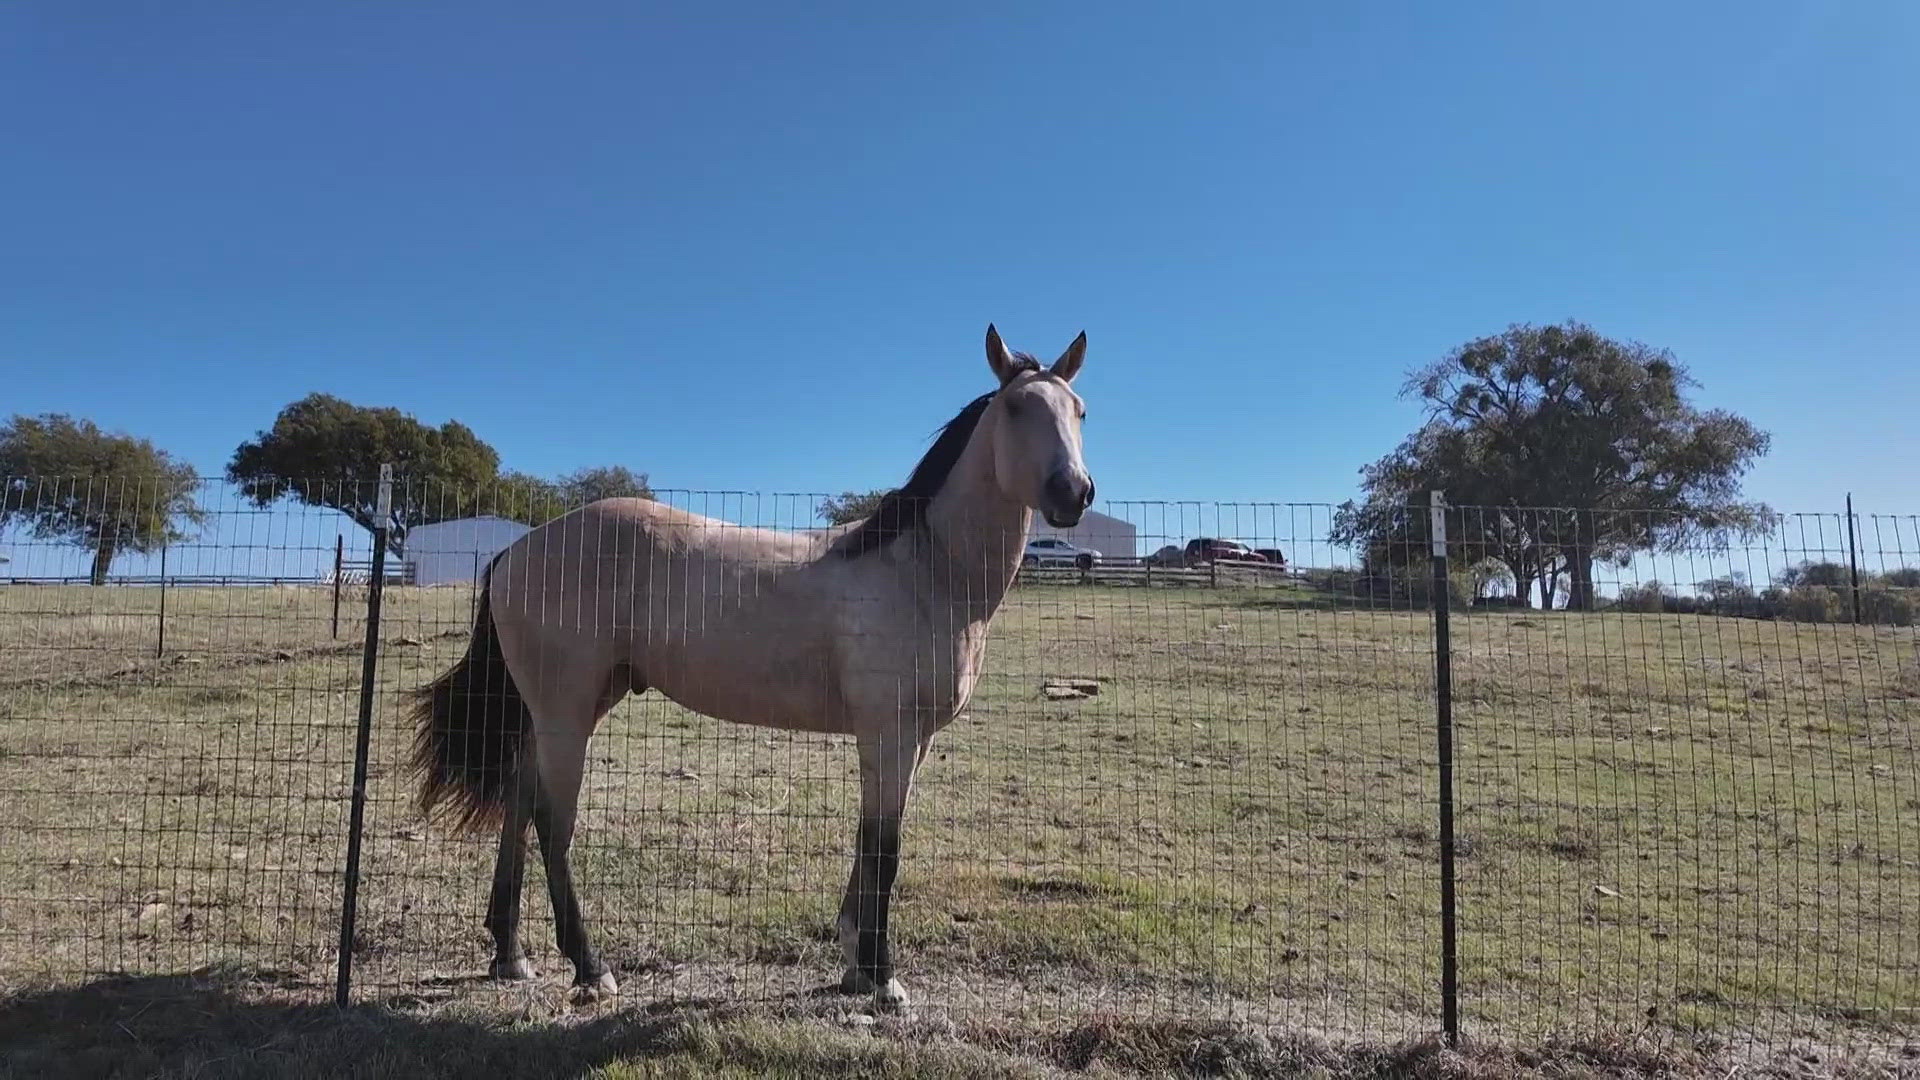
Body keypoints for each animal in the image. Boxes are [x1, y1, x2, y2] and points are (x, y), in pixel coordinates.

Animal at [408, 325, 1094, 1010]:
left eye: (1079, 411)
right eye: (1016, 408)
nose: (1074, 492)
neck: (924, 569)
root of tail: (516, 550)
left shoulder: (913, 740)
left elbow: (871, 844)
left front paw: (854, 958)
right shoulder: (889, 733)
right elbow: (885, 848)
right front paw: (882, 976)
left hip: (566, 706)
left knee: (519, 801)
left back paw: (510, 954)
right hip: (566, 710)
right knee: (553, 822)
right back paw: (589, 965)